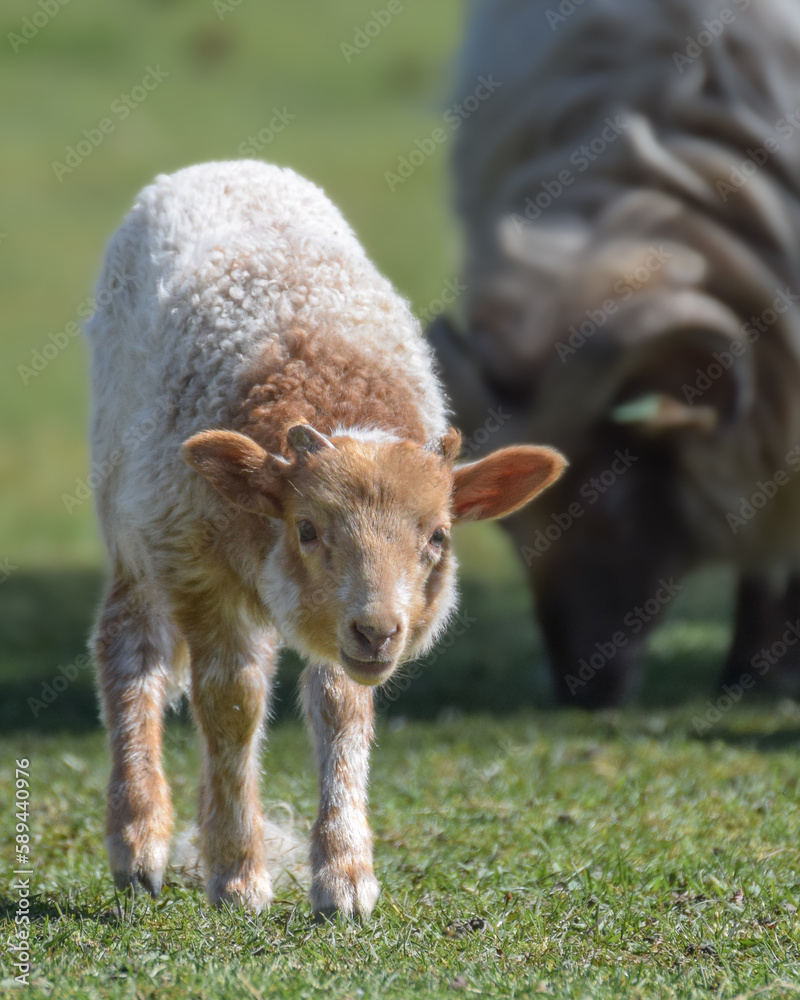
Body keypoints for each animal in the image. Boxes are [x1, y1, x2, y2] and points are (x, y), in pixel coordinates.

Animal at [85, 160, 565, 917]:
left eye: (438, 536)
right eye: (307, 529)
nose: (379, 632)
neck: (330, 382)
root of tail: (221, 164)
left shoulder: (346, 620)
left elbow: (340, 709)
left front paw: (344, 877)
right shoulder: (194, 565)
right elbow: (231, 703)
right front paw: (238, 876)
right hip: (128, 509)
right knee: (131, 652)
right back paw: (139, 842)